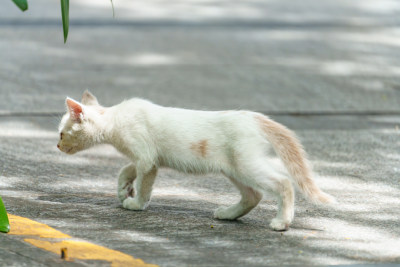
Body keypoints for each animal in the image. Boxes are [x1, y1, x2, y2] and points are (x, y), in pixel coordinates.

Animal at [57, 91, 334, 231]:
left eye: (61, 133)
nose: (57, 146)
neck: (114, 119)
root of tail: (252, 116)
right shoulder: (149, 158)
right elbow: (126, 169)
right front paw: (124, 188)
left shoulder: (146, 157)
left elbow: (144, 183)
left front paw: (136, 203)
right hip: (234, 168)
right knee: (253, 195)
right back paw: (228, 214)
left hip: (245, 164)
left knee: (283, 183)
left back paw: (282, 222)